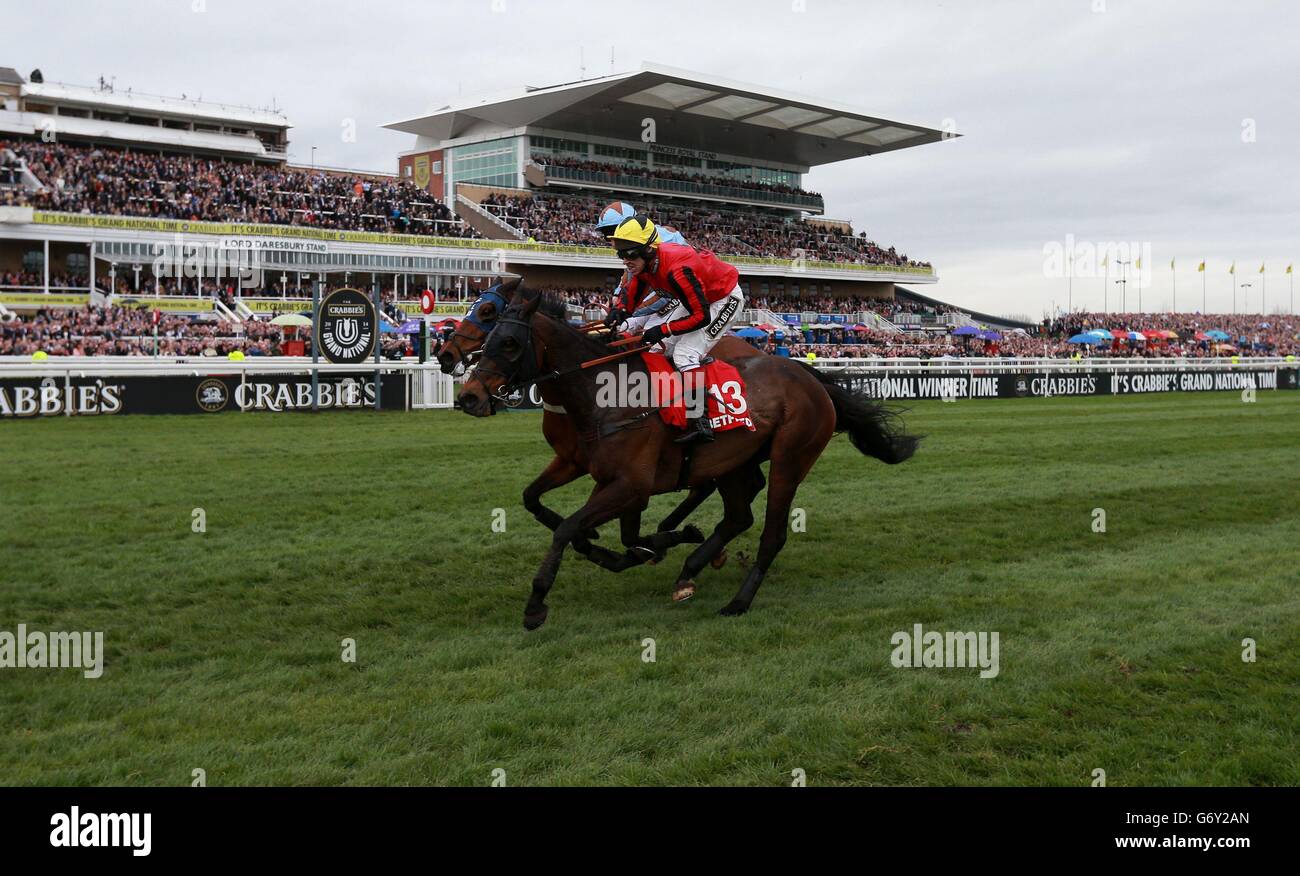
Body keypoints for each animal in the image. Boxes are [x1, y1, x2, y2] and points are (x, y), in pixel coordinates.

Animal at [439, 278, 759, 566]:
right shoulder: (572, 460)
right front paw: (593, 536)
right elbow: (532, 497)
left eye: (487, 312)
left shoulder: (603, 466)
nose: (445, 355)